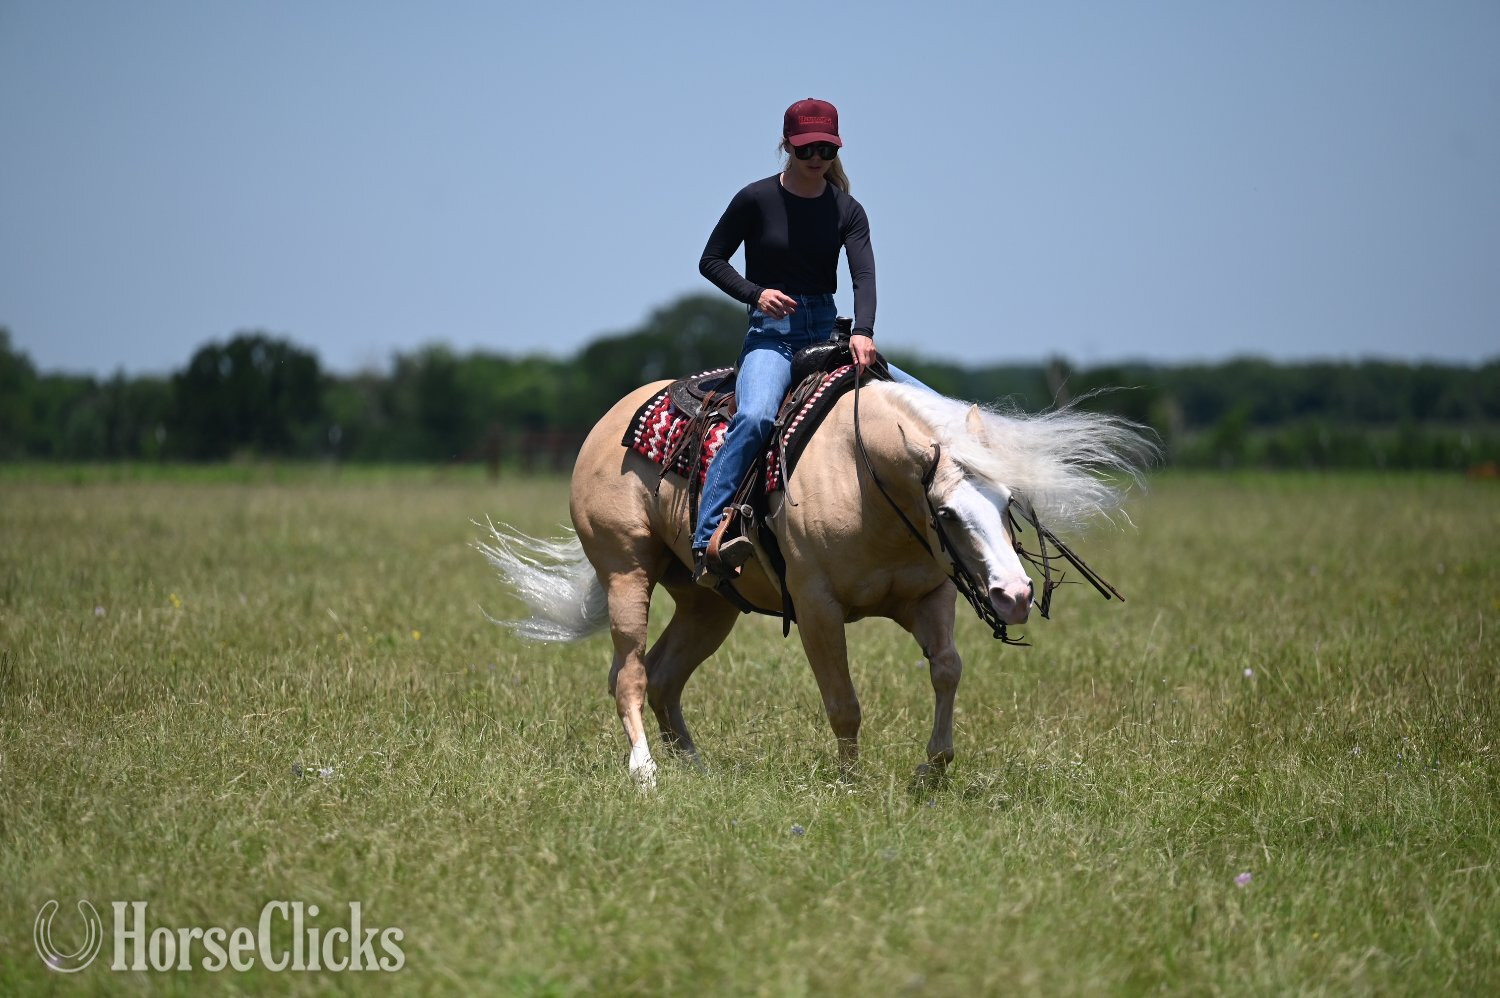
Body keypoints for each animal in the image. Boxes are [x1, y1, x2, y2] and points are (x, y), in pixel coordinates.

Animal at [478, 375, 1155, 788]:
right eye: (947, 513)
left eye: (1008, 502)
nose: (1014, 597)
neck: (864, 478)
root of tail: (610, 420)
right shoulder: (818, 609)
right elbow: (844, 702)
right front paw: (850, 782)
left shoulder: (928, 597)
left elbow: (946, 670)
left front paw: (932, 769)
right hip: (627, 573)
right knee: (630, 673)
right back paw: (645, 773)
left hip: (708, 602)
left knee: (668, 673)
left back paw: (696, 767)